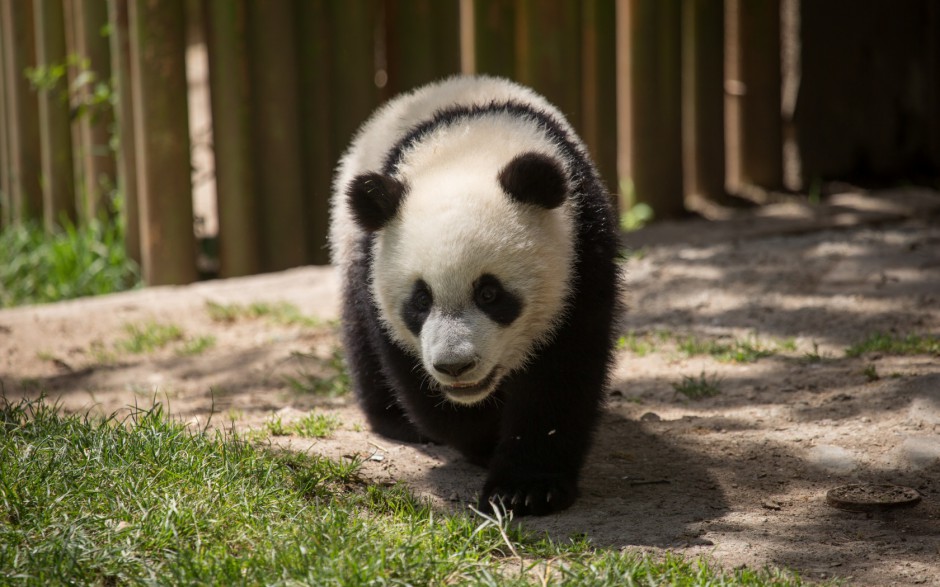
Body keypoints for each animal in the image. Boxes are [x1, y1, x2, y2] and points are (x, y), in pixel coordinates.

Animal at [332, 72, 624, 516]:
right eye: (421, 300)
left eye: (489, 293)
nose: (455, 366)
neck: (469, 148)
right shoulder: (375, 270)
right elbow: (413, 377)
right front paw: (483, 440)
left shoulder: (582, 254)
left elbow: (562, 374)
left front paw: (525, 489)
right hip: (351, 241)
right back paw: (396, 421)